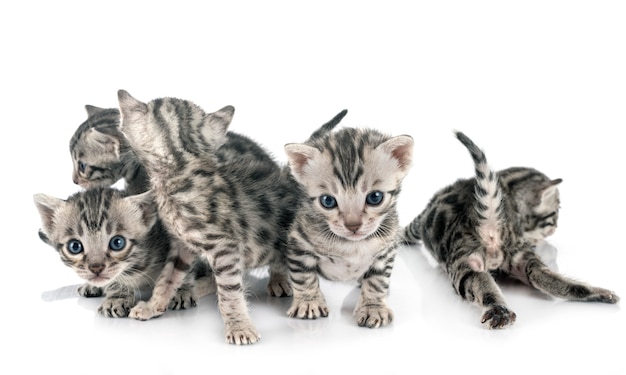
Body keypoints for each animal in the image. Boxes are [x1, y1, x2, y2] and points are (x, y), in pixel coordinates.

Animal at [33, 188, 214, 318]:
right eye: (75, 246)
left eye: (117, 243)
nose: (96, 268)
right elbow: (114, 280)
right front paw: (117, 298)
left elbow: (183, 268)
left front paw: (182, 291)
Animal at [282, 125, 412, 328]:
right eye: (327, 201)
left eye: (375, 197)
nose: (353, 225)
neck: (352, 245)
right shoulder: (298, 243)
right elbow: (303, 276)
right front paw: (309, 302)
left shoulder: (386, 250)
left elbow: (377, 280)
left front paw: (373, 307)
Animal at [400, 131, 616, 328]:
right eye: (555, 213)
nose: (556, 227)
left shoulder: (422, 219)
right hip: (522, 261)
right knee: (550, 279)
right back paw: (600, 293)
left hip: (465, 263)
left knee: (482, 284)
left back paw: (498, 309)